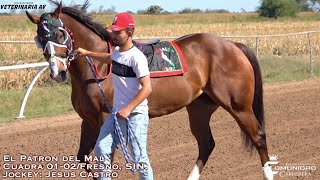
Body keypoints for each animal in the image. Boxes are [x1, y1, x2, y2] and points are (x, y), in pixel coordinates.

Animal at [26, 1, 272, 180]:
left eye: (60, 33)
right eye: (39, 37)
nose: (58, 72)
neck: (100, 66)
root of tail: (233, 45)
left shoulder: (107, 118)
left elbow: (105, 159)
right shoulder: (88, 120)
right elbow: (83, 158)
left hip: (238, 106)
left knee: (258, 137)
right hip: (199, 108)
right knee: (206, 143)